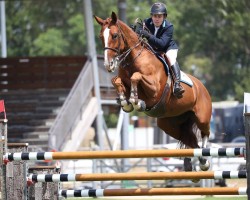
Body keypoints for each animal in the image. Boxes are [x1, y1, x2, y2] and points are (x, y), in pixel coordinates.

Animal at [94, 11, 212, 176]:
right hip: (169, 124)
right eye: (100, 36)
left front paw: (135, 101)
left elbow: (136, 76)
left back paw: (205, 159)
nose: (108, 64)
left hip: (202, 117)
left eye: (115, 35)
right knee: (191, 140)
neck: (133, 59)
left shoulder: (154, 89)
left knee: (205, 133)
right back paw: (195, 163)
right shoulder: (122, 80)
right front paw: (125, 102)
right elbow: (116, 81)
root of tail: (202, 87)